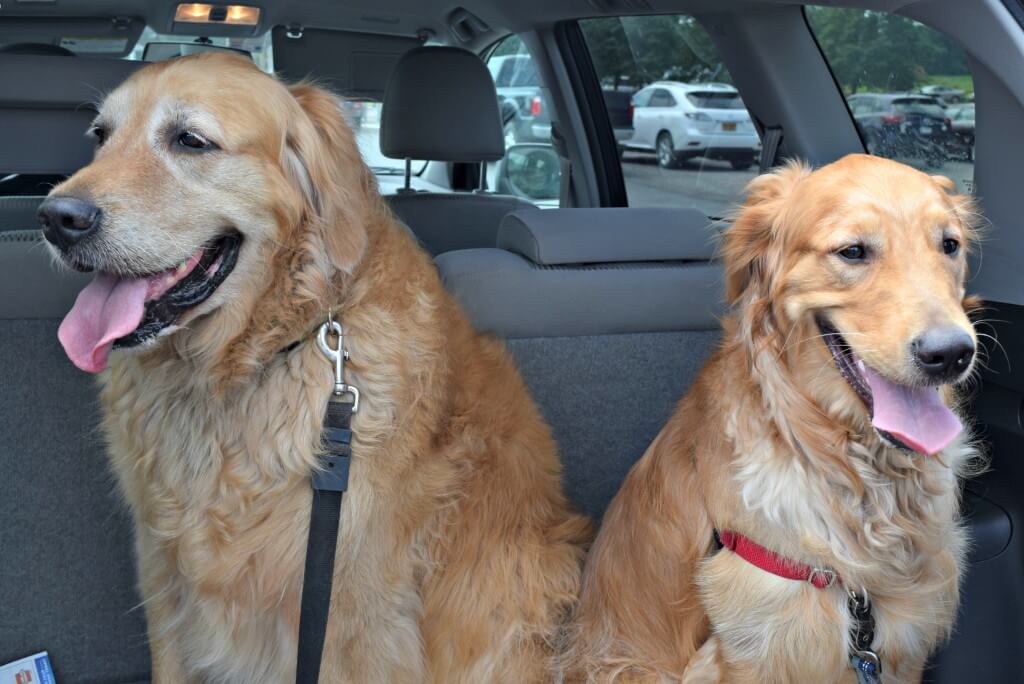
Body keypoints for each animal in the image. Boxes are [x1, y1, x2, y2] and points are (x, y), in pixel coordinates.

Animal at [37, 53, 593, 684]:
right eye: (100, 136)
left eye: (190, 140)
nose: (55, 217)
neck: (254, 359)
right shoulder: (166, 577)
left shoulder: (353, 615)